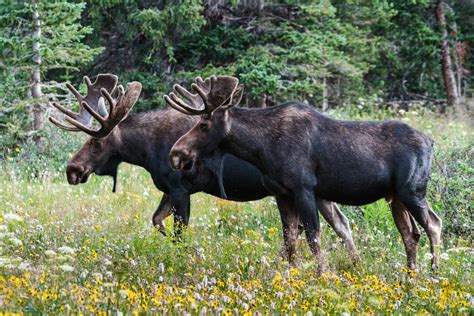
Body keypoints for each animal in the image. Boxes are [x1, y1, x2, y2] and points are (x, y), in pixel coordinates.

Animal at [49, 73, 360, 262]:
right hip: (319, 192)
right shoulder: (168, 189)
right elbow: (156, 220)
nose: (72, 169)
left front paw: (187, 255)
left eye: (95, 142)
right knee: (342, 224)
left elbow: (178, 233)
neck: (146, 149)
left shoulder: (179, 188)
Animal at [165, 75, 442, 270]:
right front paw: (291, 276)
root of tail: (431, 142)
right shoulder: (281, 193)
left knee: (433, 224)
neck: (260, 149)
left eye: (203, 124)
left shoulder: (304, 188)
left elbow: (313, 238)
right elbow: (290, 241)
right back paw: (409, 277)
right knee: (410, 234)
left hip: (412, 190)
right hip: (395, 197)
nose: (176, 154)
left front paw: (322, 276)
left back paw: (433, 273)